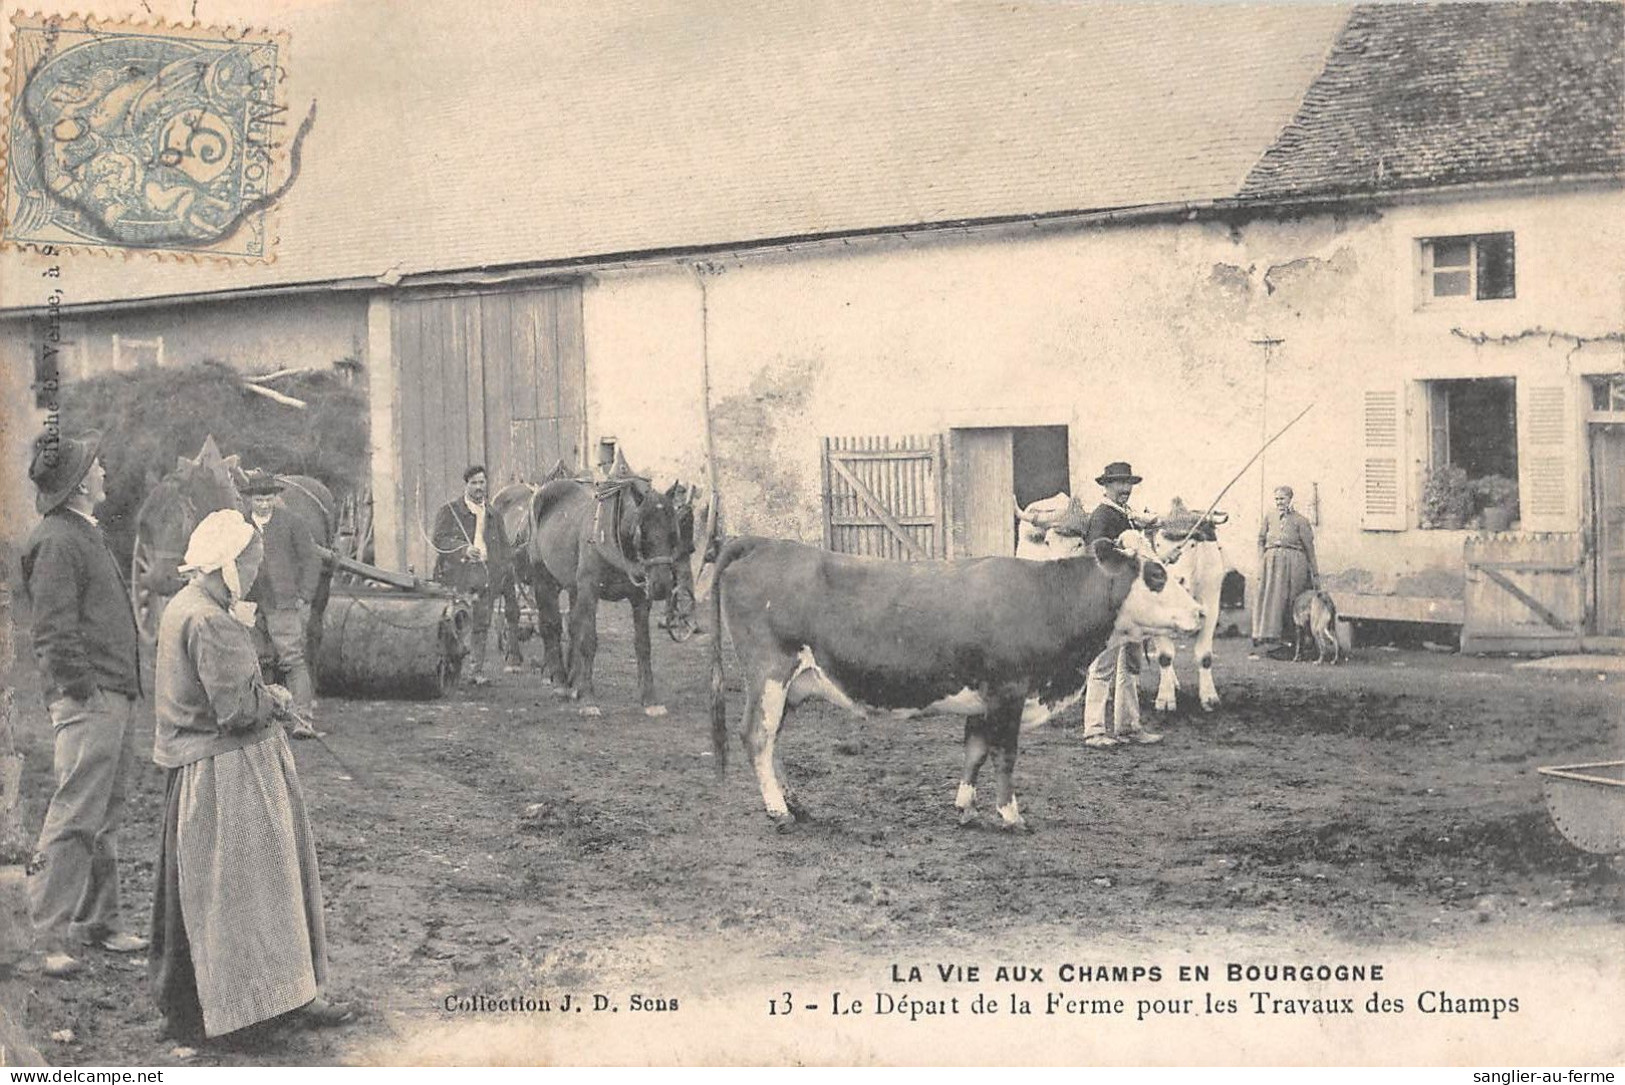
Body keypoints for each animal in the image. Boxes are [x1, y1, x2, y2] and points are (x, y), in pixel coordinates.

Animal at [523, 471, 682, 711]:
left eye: (674, 532)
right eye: (641, 531)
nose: (661, 586)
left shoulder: (640, 598)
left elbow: (643, 644)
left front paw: (649, 698)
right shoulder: (590, 590)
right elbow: (588, 640)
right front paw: (588, 697)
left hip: (574, 587)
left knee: (573, 626)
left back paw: (573, 681)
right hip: (544, 579)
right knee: (551, 625)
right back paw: (560, 682)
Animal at [711, 536, 1209, 831]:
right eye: (1157, 576)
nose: (1203, 613)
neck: (1048, 600)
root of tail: (764, 543)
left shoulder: (983, 700)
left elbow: (975, 752)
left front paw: (965, 807)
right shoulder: (1009, 691)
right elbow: (1005, 757)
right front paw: (1010, 814)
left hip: (791, 685)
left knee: (771, 740)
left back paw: (794, 802)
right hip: (769, 673)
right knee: (756, 736)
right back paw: (778, 810)